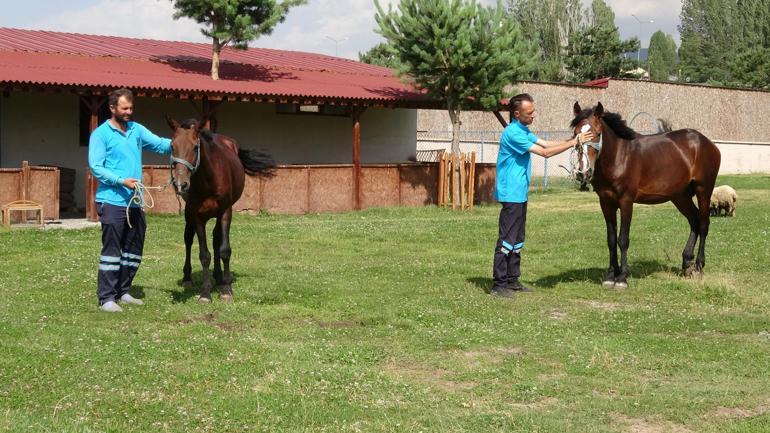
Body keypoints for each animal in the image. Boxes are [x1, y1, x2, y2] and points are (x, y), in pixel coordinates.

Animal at [166, 117, 274, 300]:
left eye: (195, 147)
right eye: (172, 146)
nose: (181, 184)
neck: (208, 180)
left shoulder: (225, 212)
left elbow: (224, 249)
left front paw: (226, 289)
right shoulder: (196, 216)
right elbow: (204, 254)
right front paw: (205, 293)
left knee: (216, 239)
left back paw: (219, 276)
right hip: (188, 213)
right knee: (188, 239)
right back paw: (188, 278)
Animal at [568, 102, 720, 288]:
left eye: (597, 133)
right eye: (575, 134)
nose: (583, 172)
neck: (619, 157)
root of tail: (707, 143)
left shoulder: (626, 202)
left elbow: (622, 239)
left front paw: (622, 278)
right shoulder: (606, 203)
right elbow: (611, 239)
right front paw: (611, 275)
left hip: (703, 190)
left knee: (704, 224)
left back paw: (698, 266)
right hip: (680, 196)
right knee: (694, 221)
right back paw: (686, 263)